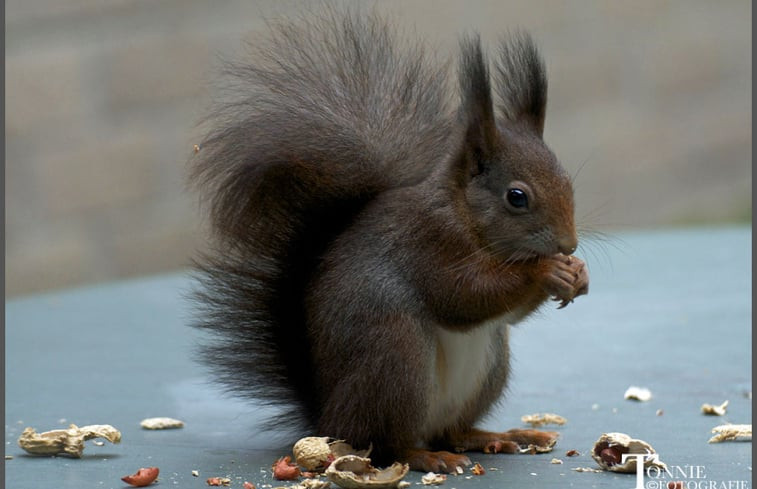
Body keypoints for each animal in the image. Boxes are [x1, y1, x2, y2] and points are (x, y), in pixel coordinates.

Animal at [188, 7, 584, 472]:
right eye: (516, 197)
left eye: (566, 180)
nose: (569, 245)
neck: (462, 213)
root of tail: (329, 418)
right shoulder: (427, 242)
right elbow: (463, 296)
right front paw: (546, 270)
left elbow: (507, 312)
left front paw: (577, 274)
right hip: (397, 360)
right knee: (389, 444)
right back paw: (430, 456)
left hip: (488, 366)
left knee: (452, 430)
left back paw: (499, 436)